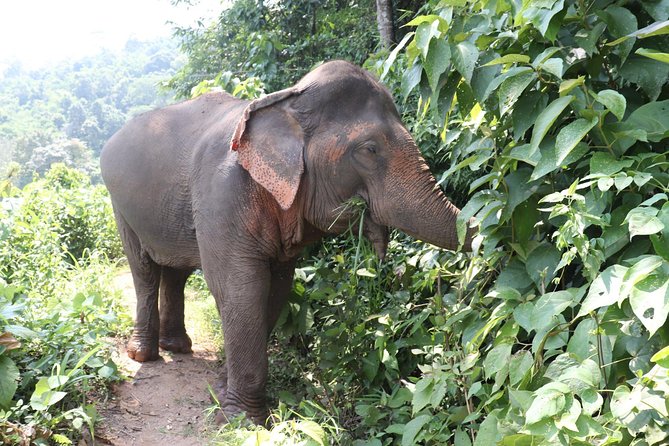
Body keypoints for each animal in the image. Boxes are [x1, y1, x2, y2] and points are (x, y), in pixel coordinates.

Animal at [100, 60, 475, 424]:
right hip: (120, 206)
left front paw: (222, 390)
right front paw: (241, 421)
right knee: (144, 270)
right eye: (369, 149)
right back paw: (143, 354)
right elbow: (241, 287)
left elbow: (276, 287)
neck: (287, 101)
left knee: (176, 272)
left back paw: (177, 347)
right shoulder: (222, 193)